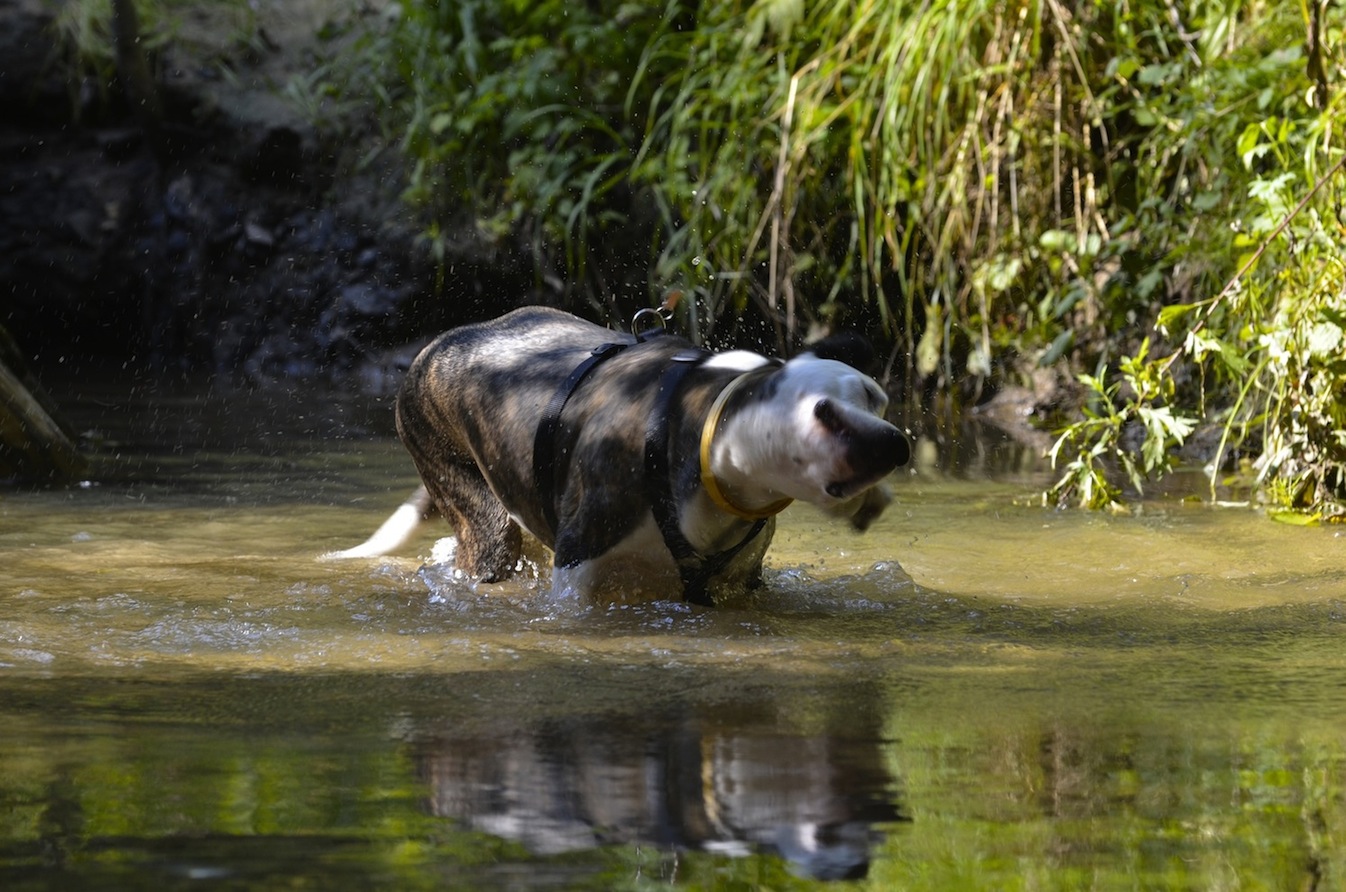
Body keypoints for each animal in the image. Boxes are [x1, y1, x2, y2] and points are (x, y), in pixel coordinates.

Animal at [328, 306, 915, 608]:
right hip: (481, 521)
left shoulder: (737, 582)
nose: (896, 442)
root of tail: (435, 346)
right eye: (825, 413)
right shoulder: (578, 572)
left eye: (875, 398)